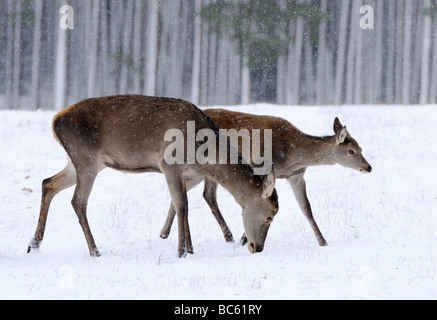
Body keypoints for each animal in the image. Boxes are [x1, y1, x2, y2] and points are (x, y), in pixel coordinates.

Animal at [27, 95, 278, 258]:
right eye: (269, 217)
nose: (257, 247)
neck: (204, 156)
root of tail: (55, 121)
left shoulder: (186, 173)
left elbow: (182, 205)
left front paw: (190, 248)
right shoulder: (169, 164)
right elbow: (182, 205)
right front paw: (182, 251)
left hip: (80, 162)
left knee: (48, 183)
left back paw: (34, 244)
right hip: (86, 160)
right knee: (78, 201)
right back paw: (94, 250)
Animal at [158, 109, 370, 246]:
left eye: (361, 147)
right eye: (351, 151)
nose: (368, 167)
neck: (292, 155)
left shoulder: (296, 175)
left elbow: (306, 208)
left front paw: (322, 241)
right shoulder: (259, 165)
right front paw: (245, 238)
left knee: (200, 193)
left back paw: (167, 233)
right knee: (198, 192)